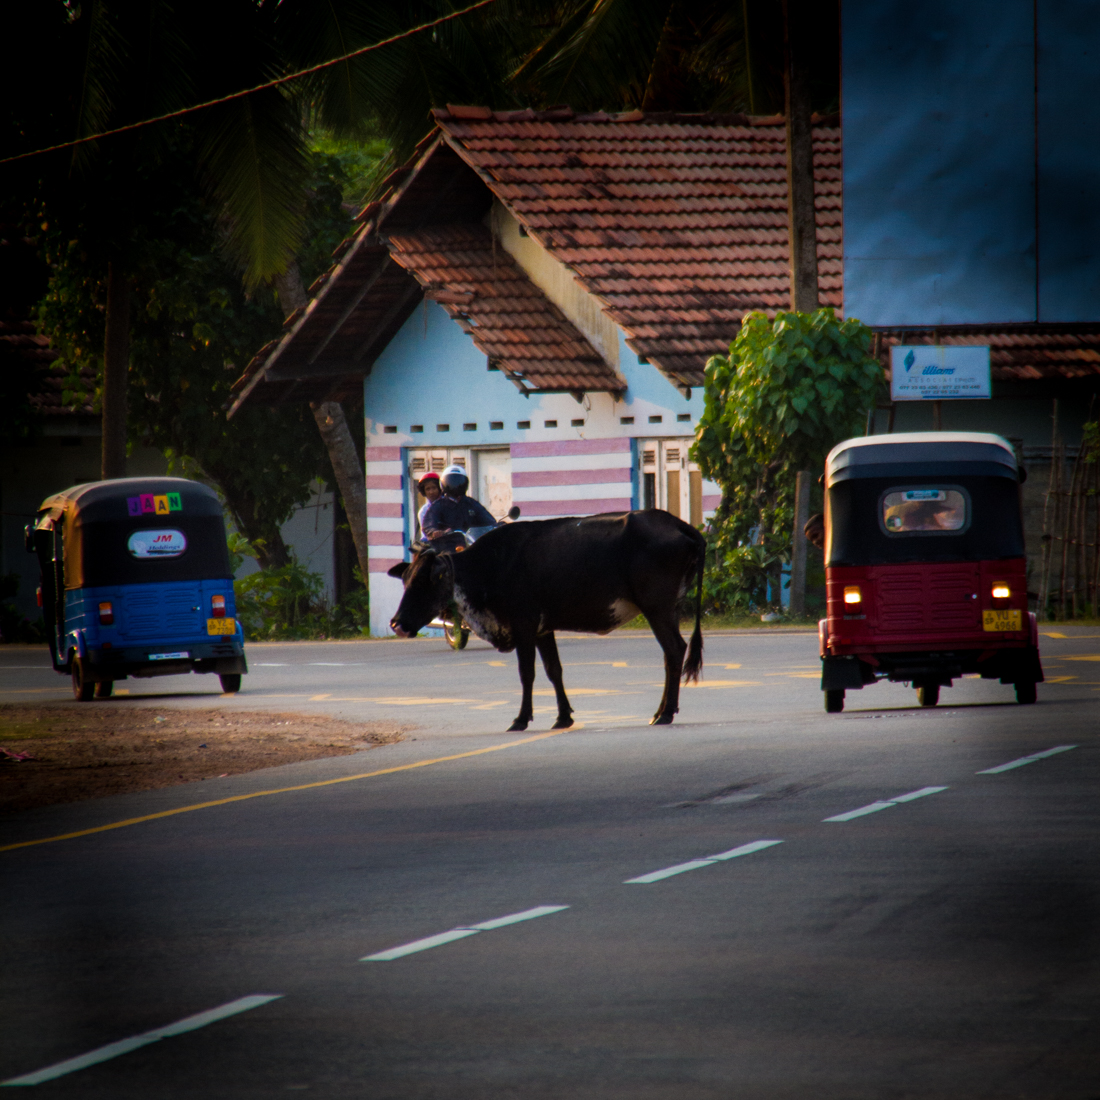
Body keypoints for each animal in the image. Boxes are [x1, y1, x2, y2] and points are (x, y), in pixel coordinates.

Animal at [391, 510, 708, 734]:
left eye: (425, 581)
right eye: (405, 580)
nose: (396, 624)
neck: (490, 565)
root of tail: (676, 523)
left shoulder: (524, 625)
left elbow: (527, 673)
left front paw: (521, 719)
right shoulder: (543, 630)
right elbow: (554, 670)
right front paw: (563, 716)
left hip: (657, 608)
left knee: (674, 650)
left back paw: (665, 712)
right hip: (668, 609)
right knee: (671, 655)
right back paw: (660, 711)